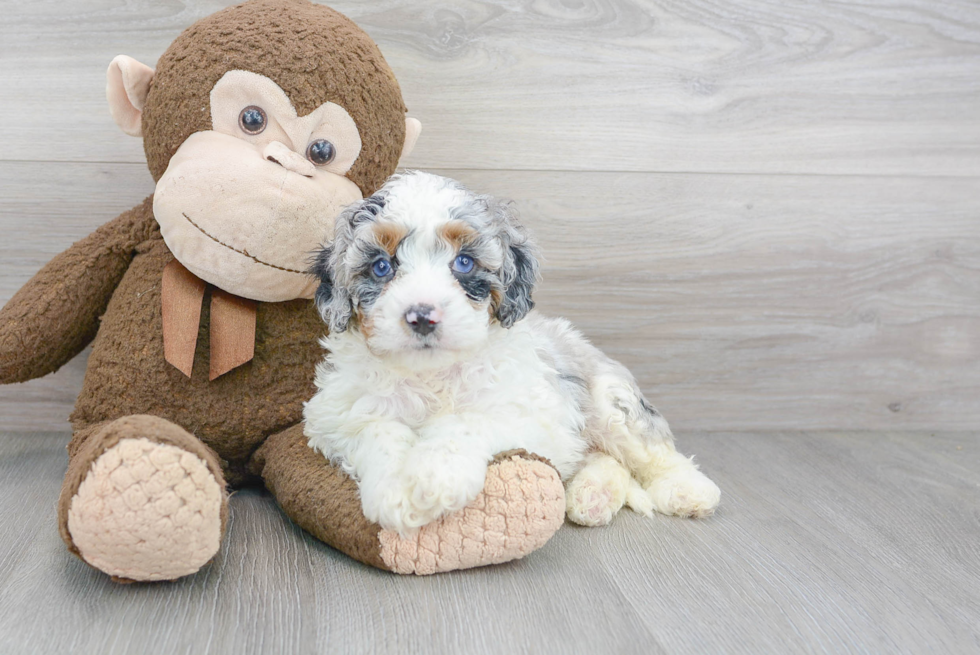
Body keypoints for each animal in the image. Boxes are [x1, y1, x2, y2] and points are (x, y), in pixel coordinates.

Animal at [304, 172, 720, 536]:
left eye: (464, 262)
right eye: (381, 267)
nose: (422, 316)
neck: (431, 375)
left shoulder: (531, 414)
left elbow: (465, 423)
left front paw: (436, 475)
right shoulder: (336, 418)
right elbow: (378, 430)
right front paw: (394, 495)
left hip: (608, 400)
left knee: (649, 450)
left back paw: (687, 490)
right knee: (603, 458)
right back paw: (593, 496)